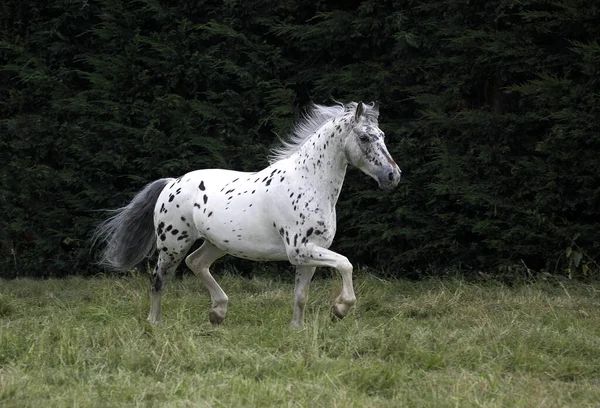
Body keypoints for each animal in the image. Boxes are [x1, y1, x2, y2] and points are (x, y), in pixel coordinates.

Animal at [94, 102, 400, 328]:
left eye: (383, 136)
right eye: (364, 137)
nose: (392, 175)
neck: (308, 183)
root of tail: (171, 183)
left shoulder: (310, 254)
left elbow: (301, 295)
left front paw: (297, 329)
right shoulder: (299, 250)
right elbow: (346, 264)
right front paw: (340, 309)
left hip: (216, 243)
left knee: (196, 263)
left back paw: (218, 312)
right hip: (172, 244)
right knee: (159, 279)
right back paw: (155, 323)